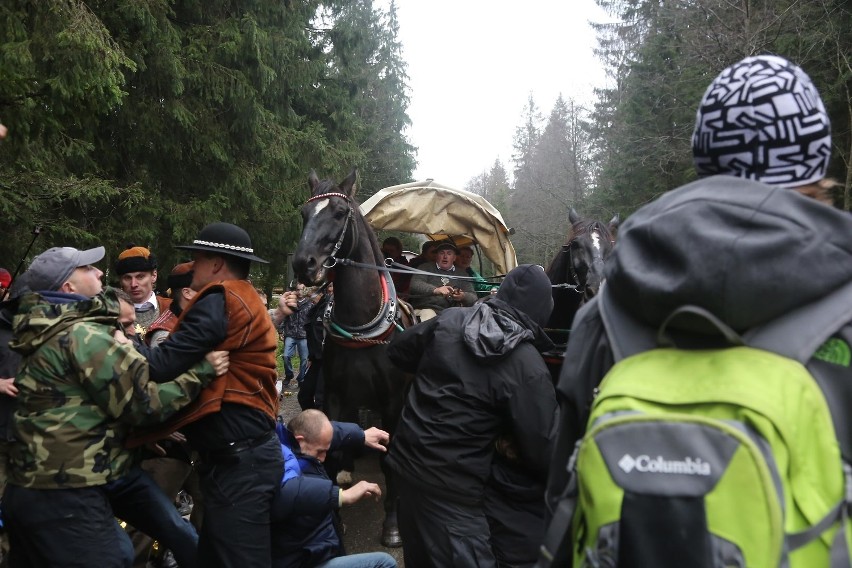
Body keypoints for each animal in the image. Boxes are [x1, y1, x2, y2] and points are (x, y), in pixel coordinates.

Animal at [292, 168, 412, 544]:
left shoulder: (392, 401)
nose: (303, 264)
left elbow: (389, 459)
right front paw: (334, 515)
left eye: (340, 213)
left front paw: (392, 524)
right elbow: (329, 448)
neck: (362, 325)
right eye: (304, 213)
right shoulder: (334, 394)